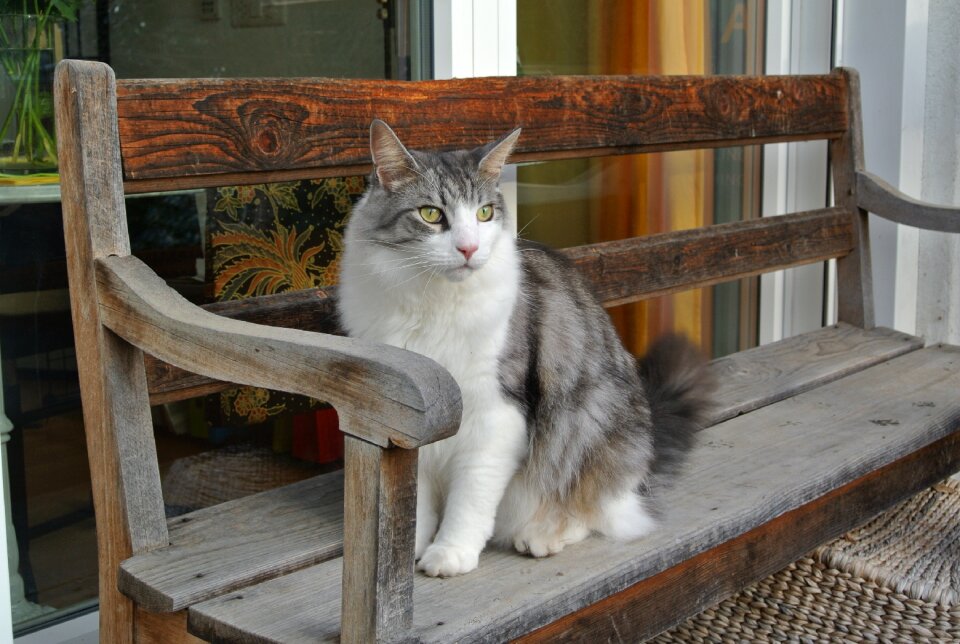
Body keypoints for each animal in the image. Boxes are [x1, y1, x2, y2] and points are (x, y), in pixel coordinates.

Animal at [338, 121, 712, 580]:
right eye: (431, 214)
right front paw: (411, 549)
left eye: (484, 214)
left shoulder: (496, 415)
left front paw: (450, 553)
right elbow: (416, 501)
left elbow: (471, 498)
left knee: (597, 510)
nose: (469, 249)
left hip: (586, 426)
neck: (434, 303)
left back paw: (542, 536)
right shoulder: (413, 416)